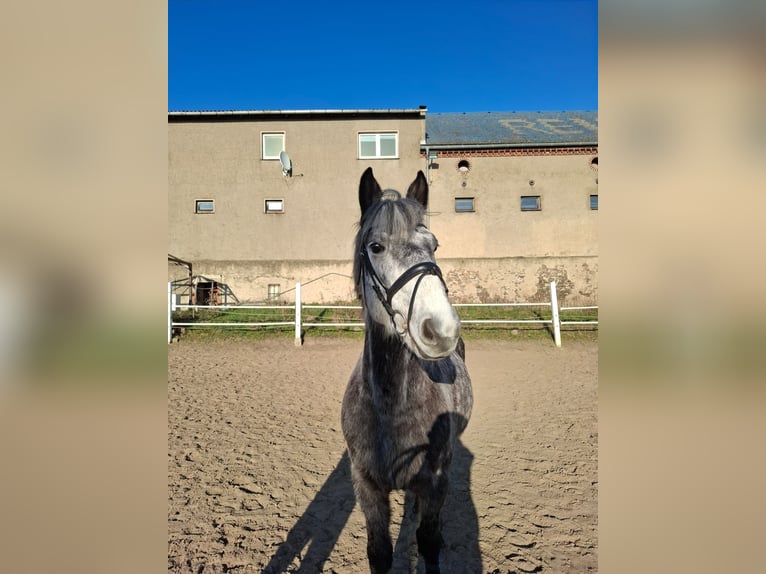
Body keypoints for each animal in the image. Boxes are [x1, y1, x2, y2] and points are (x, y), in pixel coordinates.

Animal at [341, 167, 473, 573]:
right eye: (376, 247)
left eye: (435, 245)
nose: (441, 329)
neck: (390, 408)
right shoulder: (366, 486)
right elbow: (379, 552)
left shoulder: (435, 481)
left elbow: (428, 541)